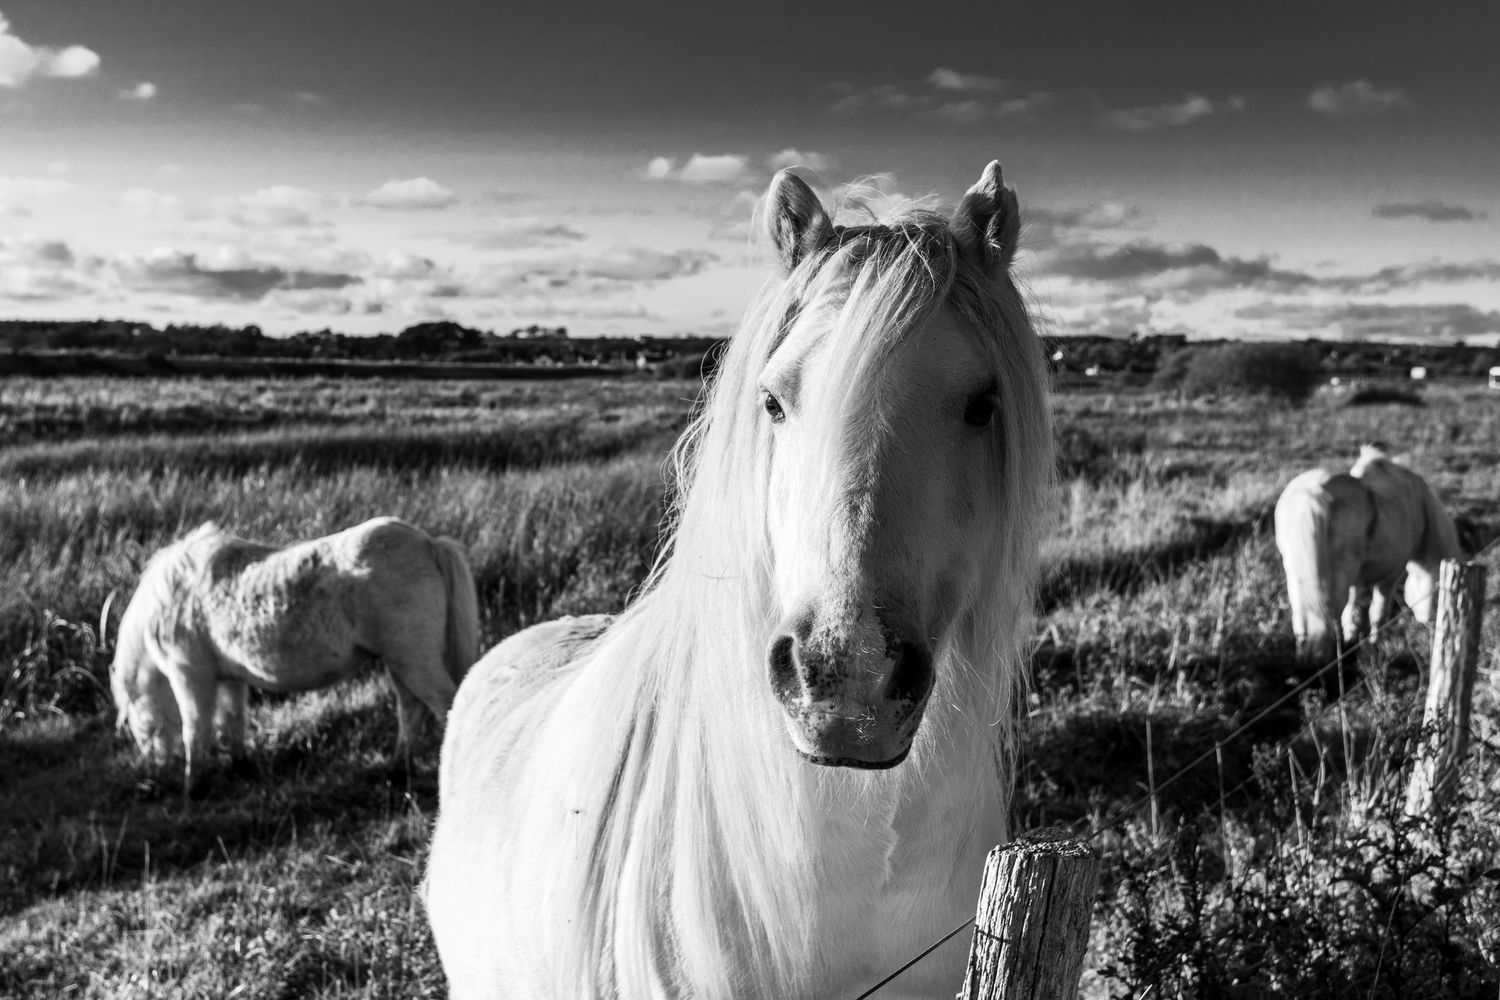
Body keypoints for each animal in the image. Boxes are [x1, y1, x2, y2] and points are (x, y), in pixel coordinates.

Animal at [110, 516, 480, 790]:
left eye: (134, 717)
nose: (153, 772)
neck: (170, 597)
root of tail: (429, 544)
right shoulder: (229, 677)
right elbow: (233, 721)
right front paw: (241, 767)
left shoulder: (190, 675)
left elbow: (195, 728)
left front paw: (192, 785)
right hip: (401, 662)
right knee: (410, 711)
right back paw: (395, 770)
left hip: (414, 660)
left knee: (443, 706)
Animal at [1274, 445, 1460, 665]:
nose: (1430, 625)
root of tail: (1315, 494)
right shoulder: (1391, 575)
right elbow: (1377, 612)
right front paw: (1374, 644)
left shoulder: (1357, 579)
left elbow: (1353, 610)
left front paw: (1352, 636)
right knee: (1328, 618)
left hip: (1295, 574)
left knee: (1302, 616)